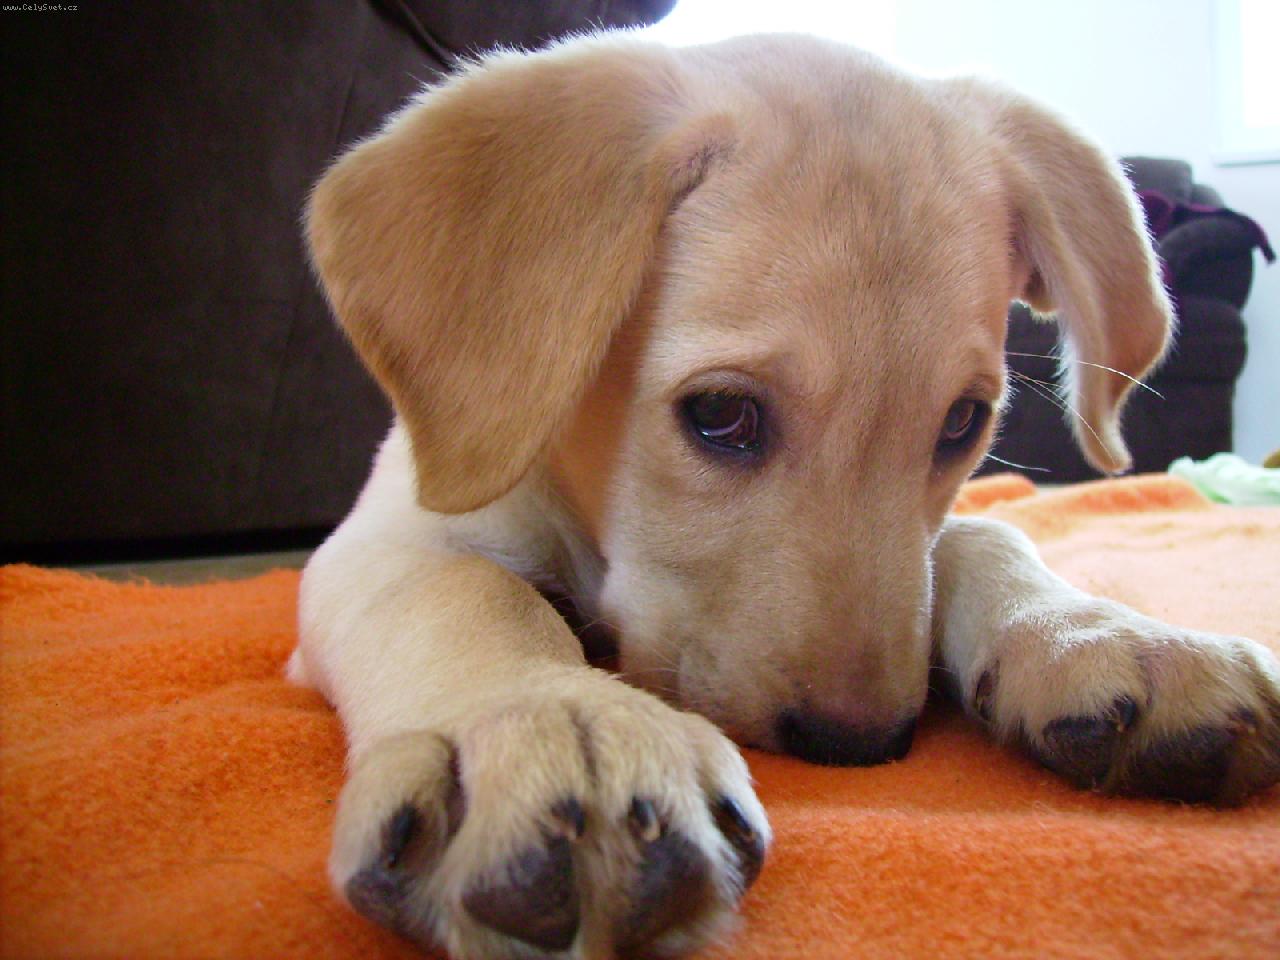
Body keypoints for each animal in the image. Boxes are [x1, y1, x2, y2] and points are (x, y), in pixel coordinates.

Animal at [288, 31, 1280, 960]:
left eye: (962, 422)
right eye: (721, 414)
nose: (861, 749)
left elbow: (982, 537)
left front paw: (1106, 636)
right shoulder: (384, 535)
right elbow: (467, 589)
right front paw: (547, 720)